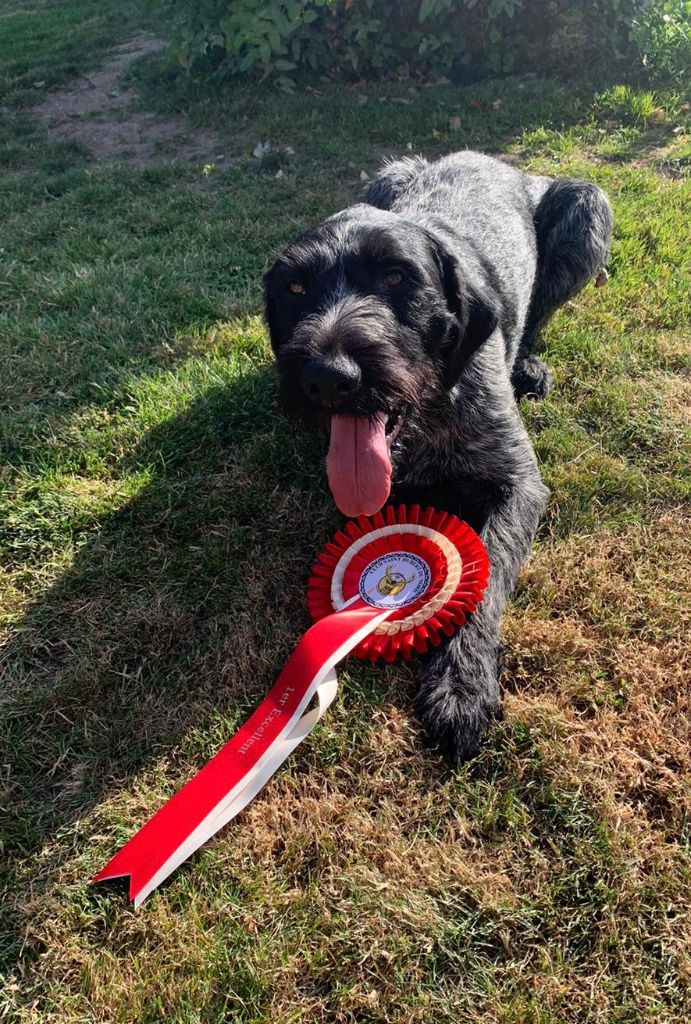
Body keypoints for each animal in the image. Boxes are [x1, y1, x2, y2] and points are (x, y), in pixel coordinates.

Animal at [264, 151, 612, 763]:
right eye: (296, 288)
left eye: (396, 278)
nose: (327, 379)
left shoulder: (518, 483)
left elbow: (486, 571)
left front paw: (461, 684)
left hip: (584, 208)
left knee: (539, 313)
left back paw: (529, 363)